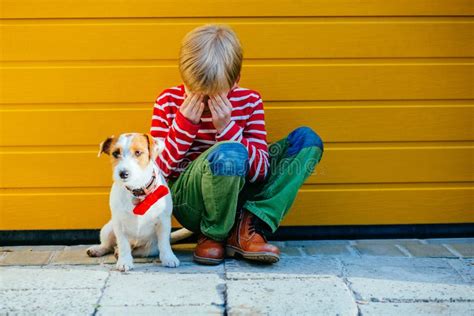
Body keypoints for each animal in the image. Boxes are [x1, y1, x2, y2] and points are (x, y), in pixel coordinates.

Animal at [87, 133, 193, 272]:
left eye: (138, 152)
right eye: (115, 153)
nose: (123, 173)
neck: (137, 189)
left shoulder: (163, 222)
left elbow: (164, 243)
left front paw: (169, 258)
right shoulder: (119, 224)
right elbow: (123, 244)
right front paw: (124, 261)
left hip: (150, 248)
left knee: (135, 250)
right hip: (108, 229)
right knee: (109, 245)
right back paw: (98, 249)